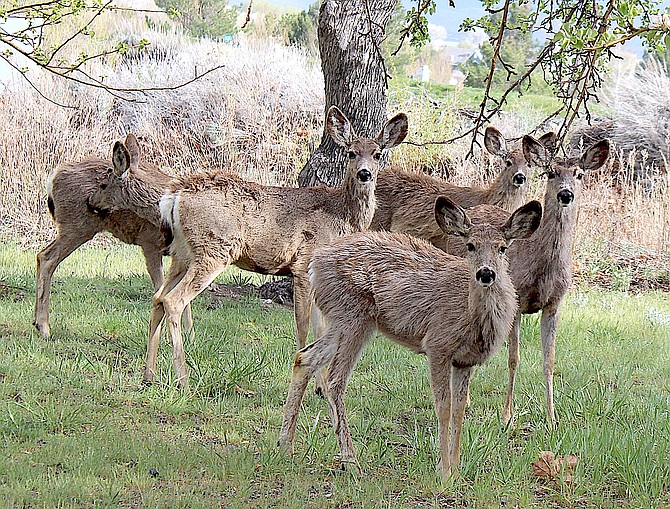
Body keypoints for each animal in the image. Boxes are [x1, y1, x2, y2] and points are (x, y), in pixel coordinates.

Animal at [33, 134, 192, 338]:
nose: (91, 202)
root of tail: (53, 176)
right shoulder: (149, 244)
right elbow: (161, 290)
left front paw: (189, 335)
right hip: (77, 227)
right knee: (47, 258)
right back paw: (44, 327)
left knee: (42, 255)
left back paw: (37, 322)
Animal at [88, 105, 410, 386]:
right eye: (351, 152)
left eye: (378, 154)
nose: (365, 173)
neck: (341, 215)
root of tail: (175, 196)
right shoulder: (303, 264)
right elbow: (305, 327)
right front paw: (311, 384)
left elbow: (319, 327)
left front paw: (318, 386)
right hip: (213, 249)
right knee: (173, 301)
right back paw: (183, 379)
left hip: (183, 253)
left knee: (157, 297)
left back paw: (149, 375)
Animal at [278, 194, 544, 480]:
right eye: (470, 246)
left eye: (502, 248)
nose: (485, 273)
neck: (470, 315)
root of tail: (315, 262)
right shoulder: (438, 345)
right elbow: (443, 406)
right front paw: (444, 471)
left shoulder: (465, 360)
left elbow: (460, 408)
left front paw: (457, 468)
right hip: (352, 315)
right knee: (335, 379)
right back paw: (350, 461)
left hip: (344, 321)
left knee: (305, 357)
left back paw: (286, 446)